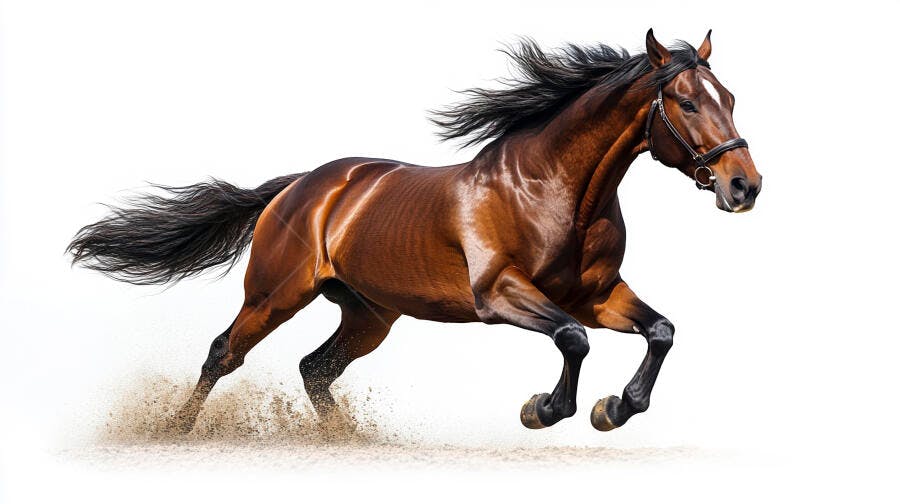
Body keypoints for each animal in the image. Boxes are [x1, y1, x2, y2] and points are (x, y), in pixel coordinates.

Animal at [68, 29, 761, 433]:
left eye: (729, 97)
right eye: (687, 103)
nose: (744, 186)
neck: (553, 189)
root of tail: (300, 186)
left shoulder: (596, 295)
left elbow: (660, 331)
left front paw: (613, 408)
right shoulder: (500, 294)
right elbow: (572, 340)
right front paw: (543, 409)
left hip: (369, 314)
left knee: (316, 368)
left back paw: (345, 439)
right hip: (274, 294)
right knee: (224, 353)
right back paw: (174, 430)